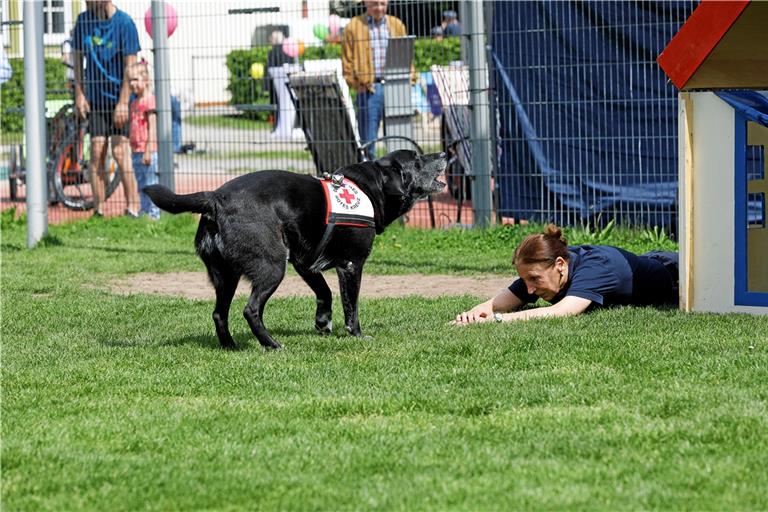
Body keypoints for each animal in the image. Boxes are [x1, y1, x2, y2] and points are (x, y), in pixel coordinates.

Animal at [145, 148, 448, 348]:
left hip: (226, 276)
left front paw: (323, 322)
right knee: (250, 310)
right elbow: (351, 307)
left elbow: (325, 293)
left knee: (219, 313)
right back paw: (271, 344)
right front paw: (357, 335)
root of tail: (215, 197)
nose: (445, 153)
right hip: (272, 265)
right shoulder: (351, 265)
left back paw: (231, 346)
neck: (371, 188)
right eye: (418, 159)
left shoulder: (305, 263)